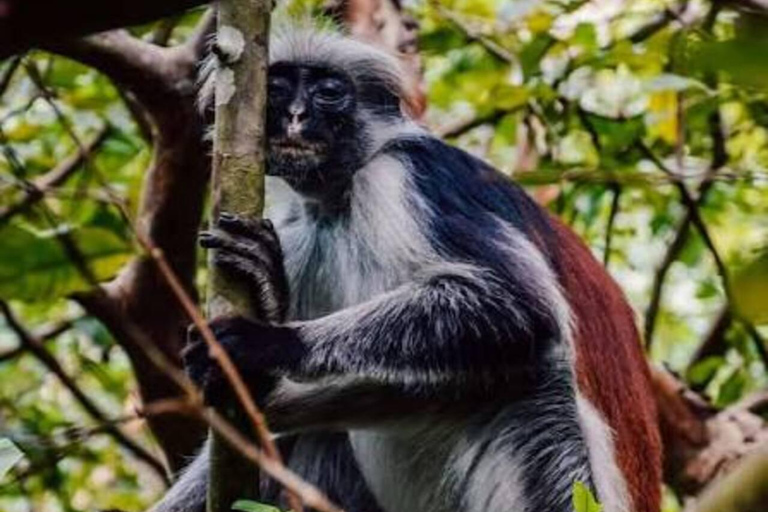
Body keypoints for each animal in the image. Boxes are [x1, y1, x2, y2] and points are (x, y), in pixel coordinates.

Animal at [149, 26, 661, 512]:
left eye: (329, 92)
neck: (338, 200)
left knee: (536, 373)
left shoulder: (405, 175)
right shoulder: (299, 236)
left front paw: (269, 343)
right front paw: (267, 299)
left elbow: (518, 304)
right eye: (276, 90)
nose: (296, 116)